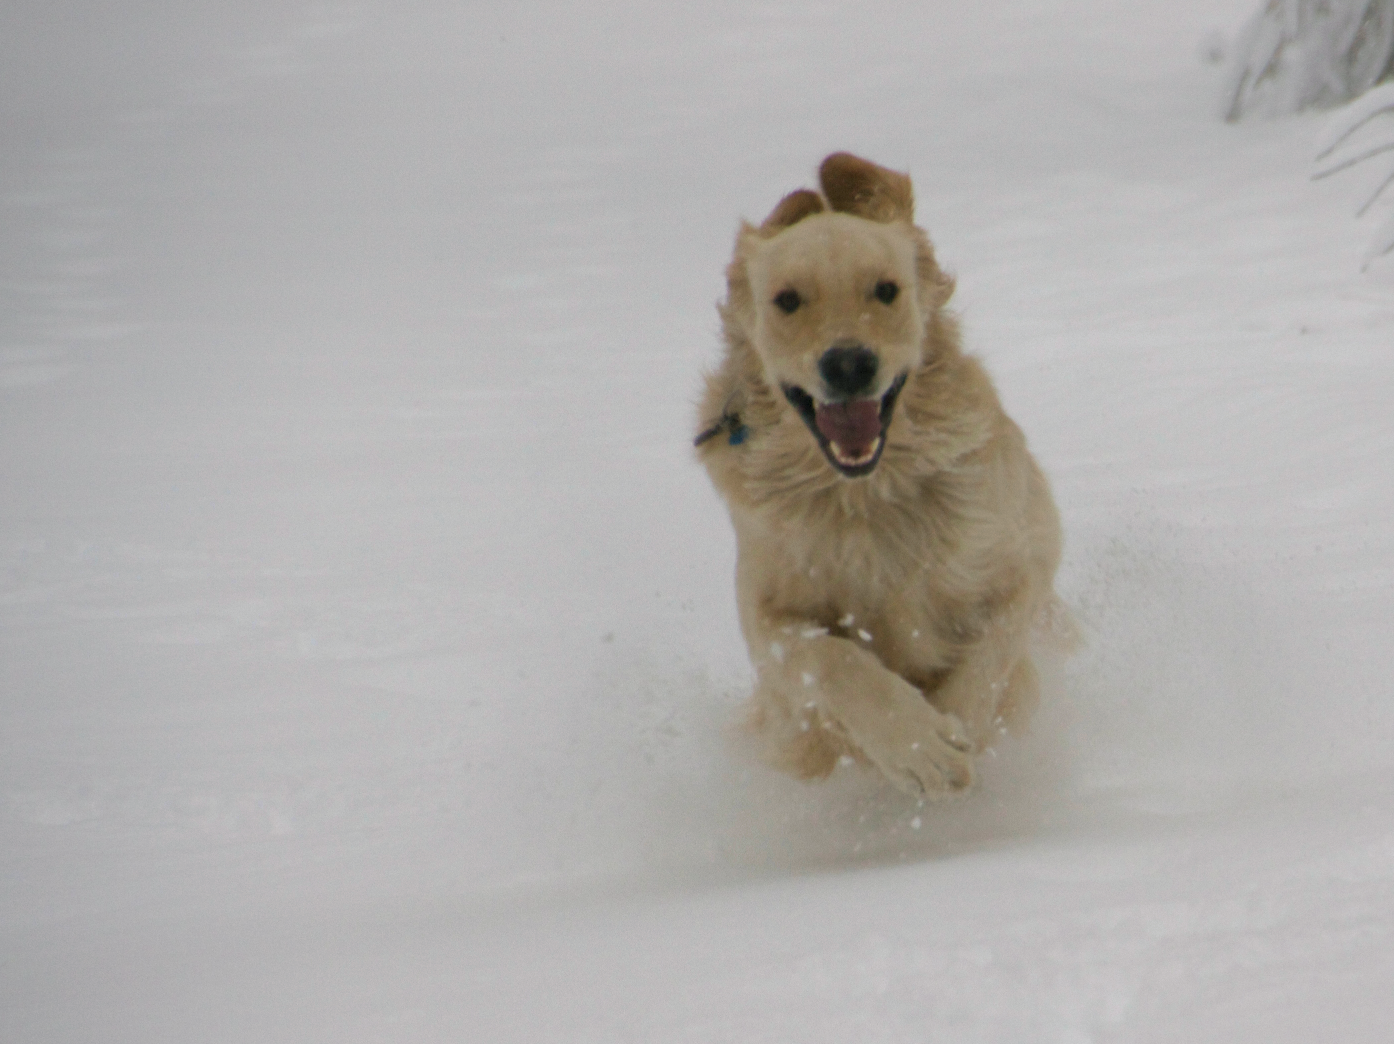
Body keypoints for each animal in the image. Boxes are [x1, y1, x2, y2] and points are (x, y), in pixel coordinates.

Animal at [691, 150, 1059, 791]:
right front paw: (916, 745)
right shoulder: (764, 612)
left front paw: (958, 727)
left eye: (886, 289)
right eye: (788, 300)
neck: (865, 496)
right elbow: (828, 658)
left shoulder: (1024, 556)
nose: (848, 364)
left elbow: (993, 650)